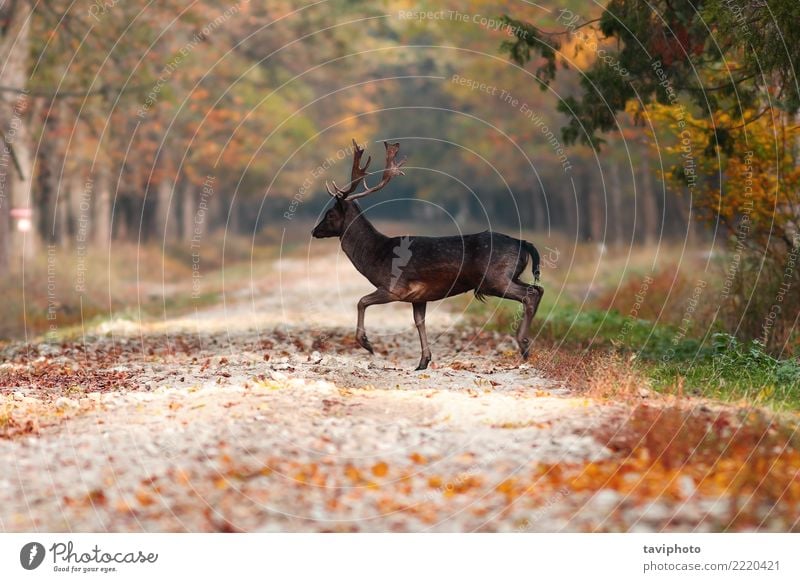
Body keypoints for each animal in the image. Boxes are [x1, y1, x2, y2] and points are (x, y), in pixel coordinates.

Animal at [312, 139, 544, 372]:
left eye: (330, 214)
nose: (314, 231)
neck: (376, 255)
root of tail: (523, 243)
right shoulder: (419, 296)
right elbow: (419, 321)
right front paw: (423, 361)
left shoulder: (394, 287)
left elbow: (361, 301)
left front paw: (366, 344)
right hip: (508, 276)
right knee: (538, 289)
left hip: (495, 278)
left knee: (531, 294)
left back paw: (523, 344)